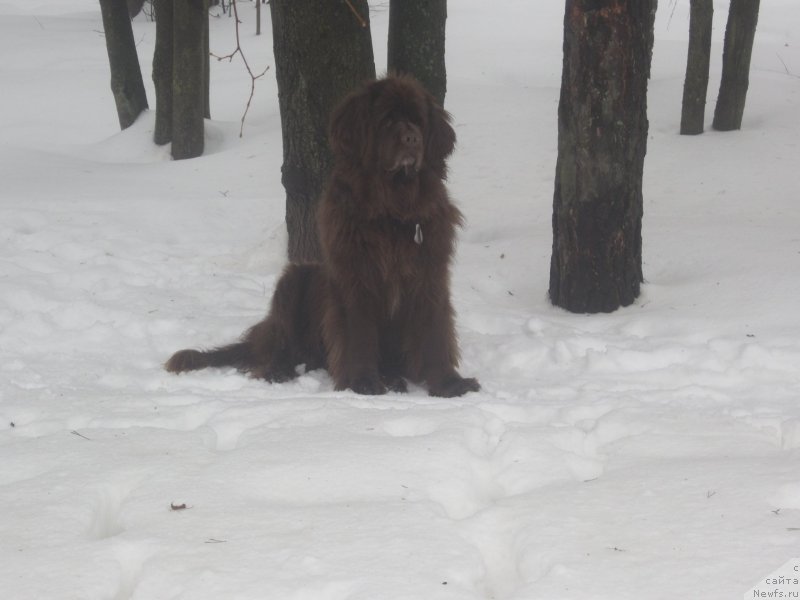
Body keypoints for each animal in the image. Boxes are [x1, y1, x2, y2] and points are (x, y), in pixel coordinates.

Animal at [166, 74, 478, 398]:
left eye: (418, 122)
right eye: (388, 120)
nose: (412, 139)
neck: (391, 209)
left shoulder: (430, 276)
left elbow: (434, 333)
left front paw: (449, 383)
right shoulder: (356, 279)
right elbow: (359, 333)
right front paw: (363, 383)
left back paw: (393, 378)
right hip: (293, 280)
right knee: (278, 348)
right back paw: (278, 372)